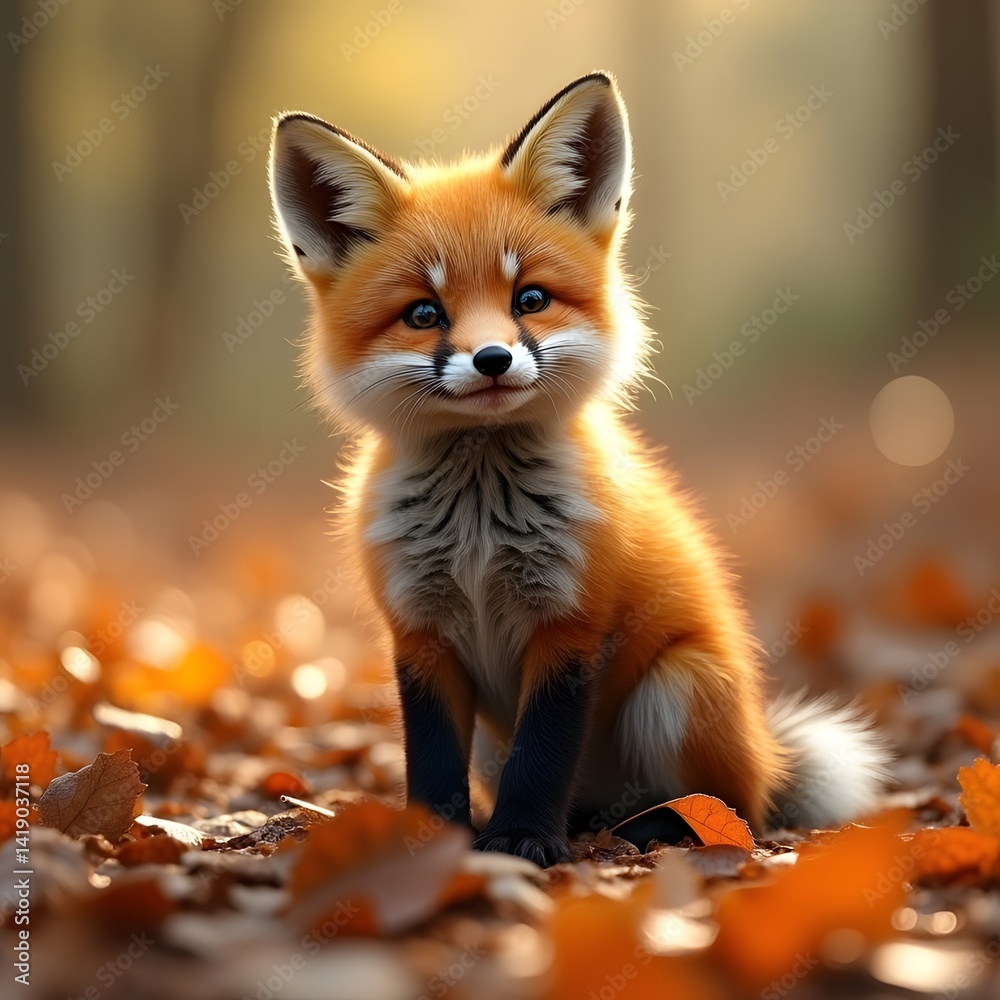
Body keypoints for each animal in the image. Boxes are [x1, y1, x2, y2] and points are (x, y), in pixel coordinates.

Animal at [267, 71, 889, 866]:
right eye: (424, 313)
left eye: (529, 299)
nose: (492, 358)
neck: (478, 524)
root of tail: (764, 756)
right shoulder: (420, 634)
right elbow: (432, 764)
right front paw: (431, 843)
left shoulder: (569, 626)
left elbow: (543, 755)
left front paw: (522, 838)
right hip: (502, 743)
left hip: (677, 688)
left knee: (732, 809)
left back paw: (650, 830)